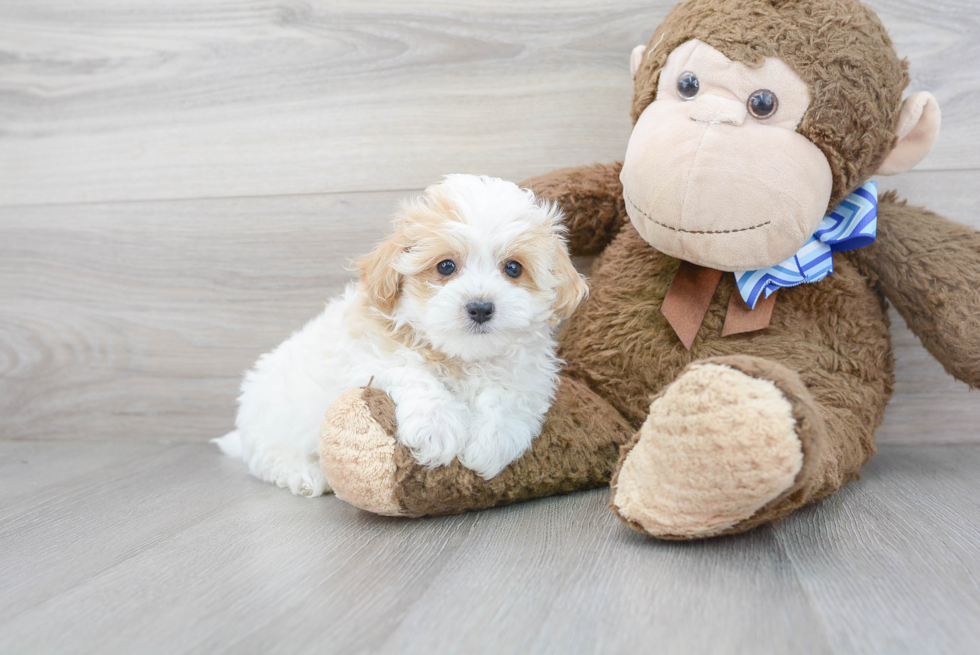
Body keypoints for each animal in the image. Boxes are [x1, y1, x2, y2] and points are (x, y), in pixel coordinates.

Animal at [215, 174, 584, 498]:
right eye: (446, 266)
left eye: (513, 268)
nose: (480, 307)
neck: (460, 357)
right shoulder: (366, 358)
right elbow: (411, 372)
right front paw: (437, 427)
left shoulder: (530, 373)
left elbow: (511, 393)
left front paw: (490, 442)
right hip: (273, 423)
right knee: (271, 459)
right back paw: (305, 474)